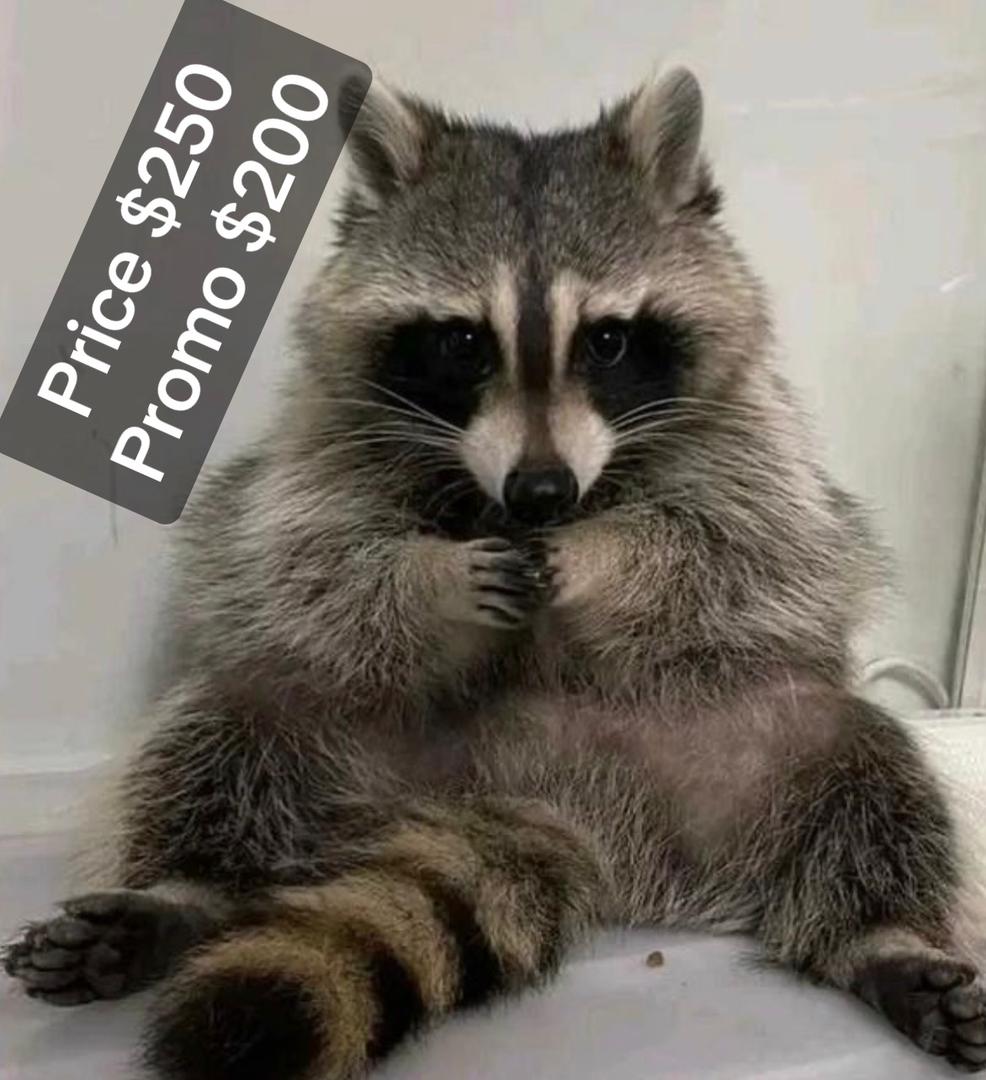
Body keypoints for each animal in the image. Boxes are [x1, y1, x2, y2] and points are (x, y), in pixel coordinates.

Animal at [6, 68, 986, 1077]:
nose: (542, 490)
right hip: (336, 740)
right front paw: (431, 581)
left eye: (608, 341)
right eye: (463, 342)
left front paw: (605, 556)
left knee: (873, 779)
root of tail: (545, 797)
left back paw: (884, 939)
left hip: (742, 746)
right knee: (220, 733)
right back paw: (183, 891)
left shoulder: (754, 443)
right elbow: (306, 563)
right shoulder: (324, 444)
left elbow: (739, 549)